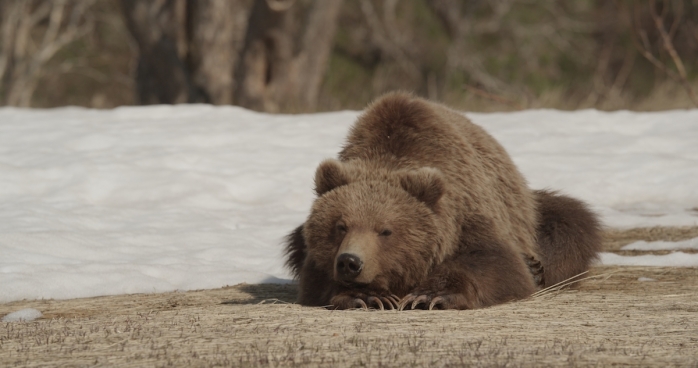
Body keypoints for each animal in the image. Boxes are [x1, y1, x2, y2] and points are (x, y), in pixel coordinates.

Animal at [282, 90, 600, 310]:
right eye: (340, 226)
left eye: (385, 230)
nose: (350, 262)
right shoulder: (317, 257)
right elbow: (316, 280)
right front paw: (369, 297)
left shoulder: (467, 213)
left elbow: (496, 264)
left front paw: (430, 295)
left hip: (531, 215)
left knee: (570, 225)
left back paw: (537, 266)